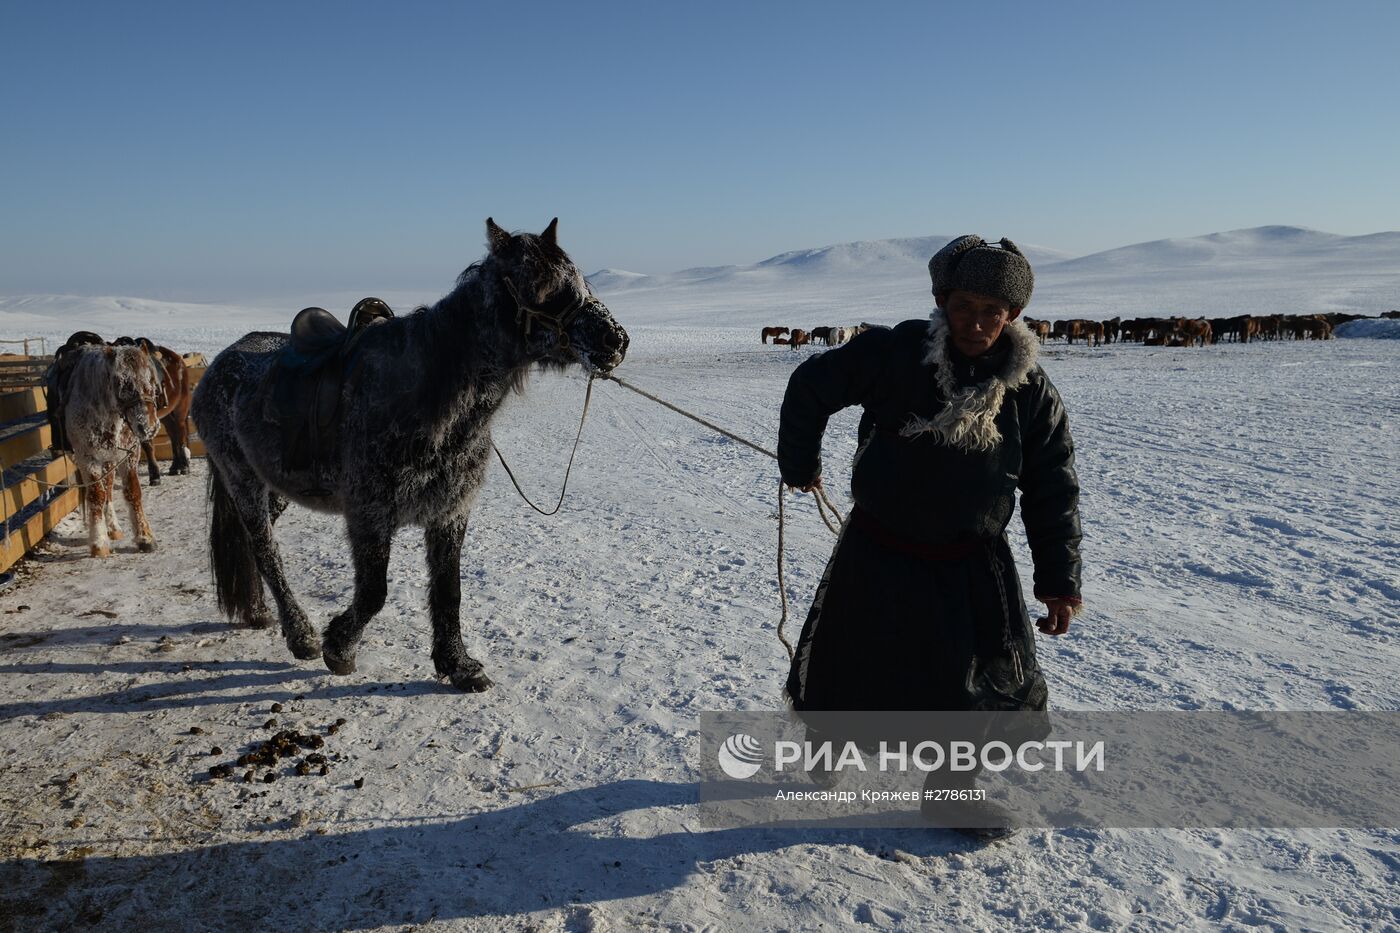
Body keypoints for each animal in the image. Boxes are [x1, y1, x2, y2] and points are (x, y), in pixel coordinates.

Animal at [60, 344, 161, 554]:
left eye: (152, 380)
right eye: (124, 383)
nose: (149, 427)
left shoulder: (129, 454)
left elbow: (132, 491)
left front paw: (145, 537)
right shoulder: (86, 458)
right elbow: (96, 495)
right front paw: (99, 543)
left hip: (109, 459)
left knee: (108, 487)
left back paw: (113, 528)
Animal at [191, 214, 630, 686]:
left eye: (579, 279)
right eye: (541, 285)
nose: (616, 340)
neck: (426, 399)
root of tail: (218, 364)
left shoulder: (450, 513)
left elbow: (449, 591)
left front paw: (458, 665)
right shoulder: (368, 515)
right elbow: (373, 593)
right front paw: (338, 649)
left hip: (275, 489)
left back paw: (257, 612)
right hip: (243, 479)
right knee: (264, 549)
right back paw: (301, 635)